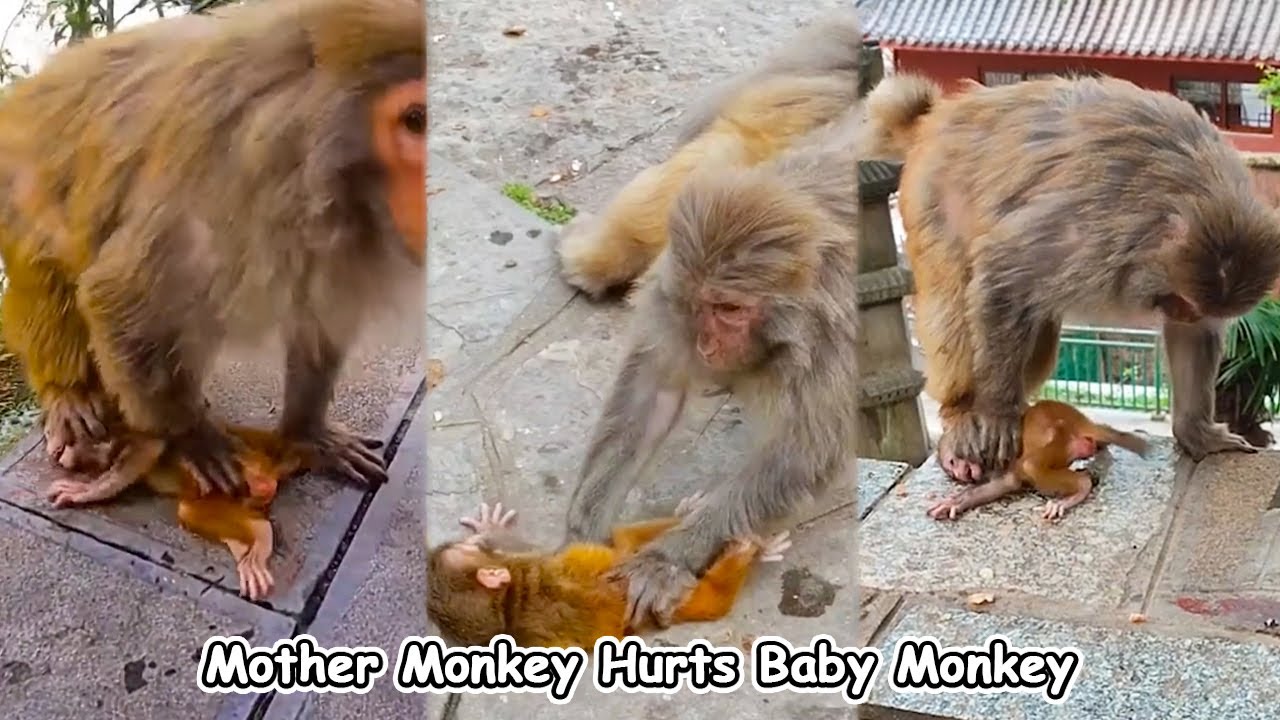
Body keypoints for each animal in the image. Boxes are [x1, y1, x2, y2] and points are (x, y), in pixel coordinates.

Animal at [0, 0, 425, 498]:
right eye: (417, 120)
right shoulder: (227, 192)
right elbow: (115, 298)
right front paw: (189, 437)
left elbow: (323, 314)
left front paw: (306, 431)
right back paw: (69, 396)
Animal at [43, 425, 309, 601]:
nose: (54, 448)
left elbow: (147, 447)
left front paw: (86, 490)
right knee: (193, 510)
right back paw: (251, 543)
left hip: (250, 466)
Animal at [562, 92, 864, 628]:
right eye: (702, 305)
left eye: (731, 309)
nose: (706, 347)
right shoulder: (671, 293)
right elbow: (654, 392)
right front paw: (583, 532)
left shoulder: (833, 343)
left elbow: (801, 452)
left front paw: (666, 561)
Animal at [857, 73, 1280, 484]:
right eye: (1181, 301)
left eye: (1191, 308)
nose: (1183, 312)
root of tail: (937, 117)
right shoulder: (1091, 235)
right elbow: (1003, 271)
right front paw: (996, 414)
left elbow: (1193, 338)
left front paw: (1197, 432)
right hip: (932, 200)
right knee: (956, 299)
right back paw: (963, 414)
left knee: (1039, 332)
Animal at [927, 400, 1150, 522]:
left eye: (952, 463)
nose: (958, 474)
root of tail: (1081, 422)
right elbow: (1002, 485)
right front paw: (956, 503)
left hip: (1063, 437)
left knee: (1033, 464)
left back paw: (1079, 489)